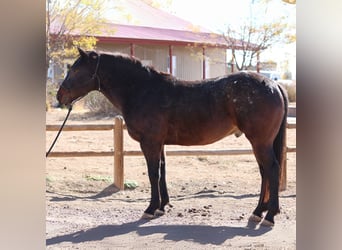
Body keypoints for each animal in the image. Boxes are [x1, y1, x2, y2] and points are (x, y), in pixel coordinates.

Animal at [56, 47, 288, 226]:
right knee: (265, 172)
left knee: (271, 170)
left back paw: (269, 216)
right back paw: (258, 212)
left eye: (75, 69)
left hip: (260, 142)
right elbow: (162, 170)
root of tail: (273, 84)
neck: (142, 89)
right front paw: (162, 206)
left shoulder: (149, 142)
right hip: (260, 143)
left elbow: (153, 173)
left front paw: (150, 208)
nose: (59, 96)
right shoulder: (159, 143)